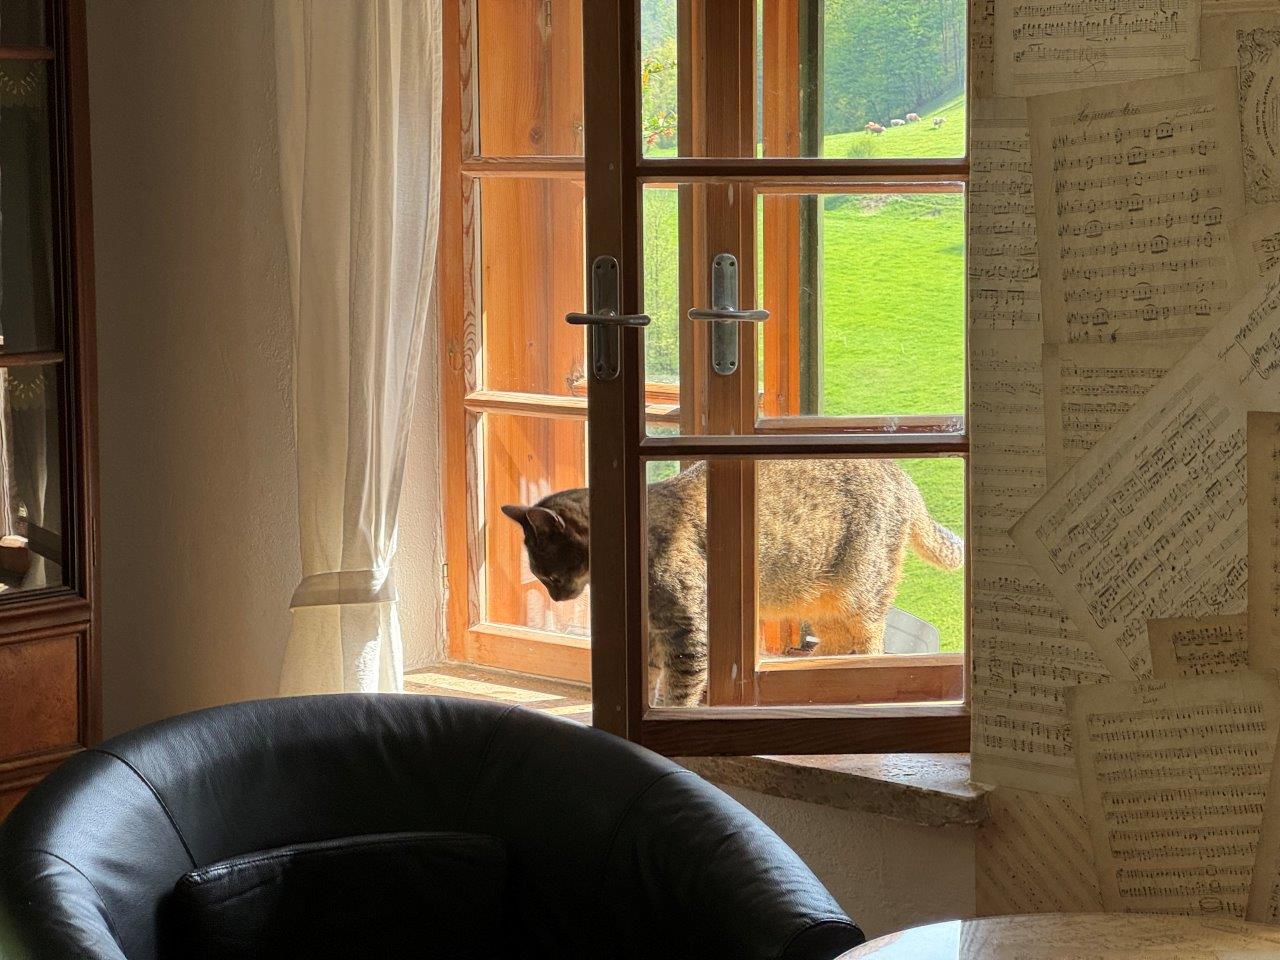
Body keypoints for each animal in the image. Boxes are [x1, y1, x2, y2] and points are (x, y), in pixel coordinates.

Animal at [501, 458, 963, 707]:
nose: (556, 597)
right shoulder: (653, 632)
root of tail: (901, 476)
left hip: (860, 590)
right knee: (835, 642)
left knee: (867, 643)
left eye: (547, 575)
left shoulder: (687, 628)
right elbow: (653, 675)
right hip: (822, 598)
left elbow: (680, 686)